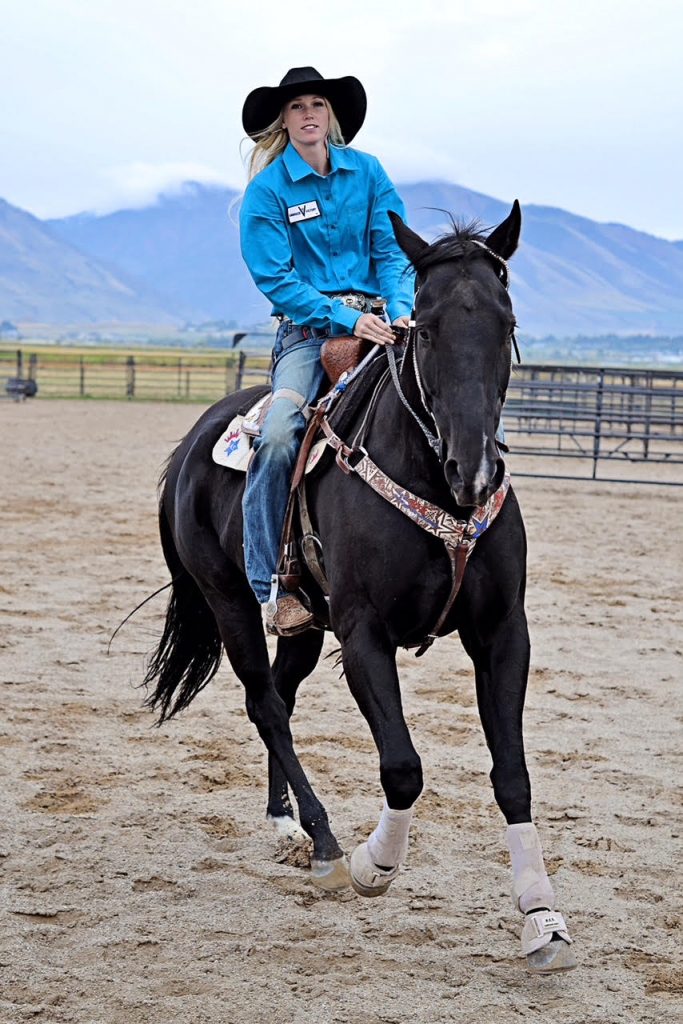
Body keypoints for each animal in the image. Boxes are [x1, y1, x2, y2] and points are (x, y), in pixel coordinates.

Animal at [145, 201, 577, 974]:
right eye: (425, 327)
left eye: (506, 323)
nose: (472, 468)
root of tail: (194, 441)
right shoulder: (363, 634)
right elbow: (402, 766)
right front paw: (376, 865)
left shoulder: (503, 632)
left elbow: (513, 775)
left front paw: (541, 917)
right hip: (231, 602)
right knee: (265, 705)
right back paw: (321, 840)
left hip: (303, 626)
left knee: (280, 698)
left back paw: (284, 824)